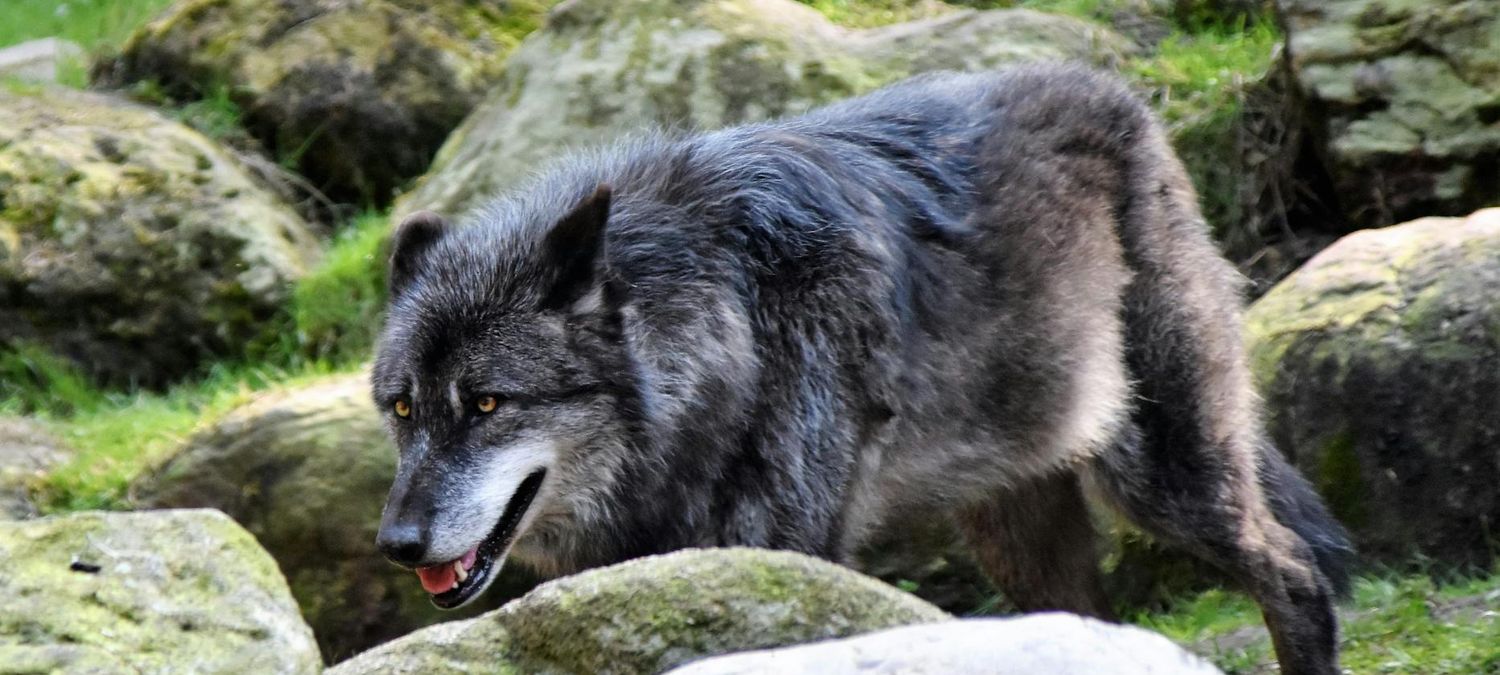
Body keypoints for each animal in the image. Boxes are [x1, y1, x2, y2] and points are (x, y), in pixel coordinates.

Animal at [371, 64, 1352, 674]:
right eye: (403, 409)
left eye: (488, 403)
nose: (397, 544)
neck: (728, 333)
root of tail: (1124, 101)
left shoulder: (784, 553)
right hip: (1016, 530)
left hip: (1164, 474)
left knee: (1295, 572)